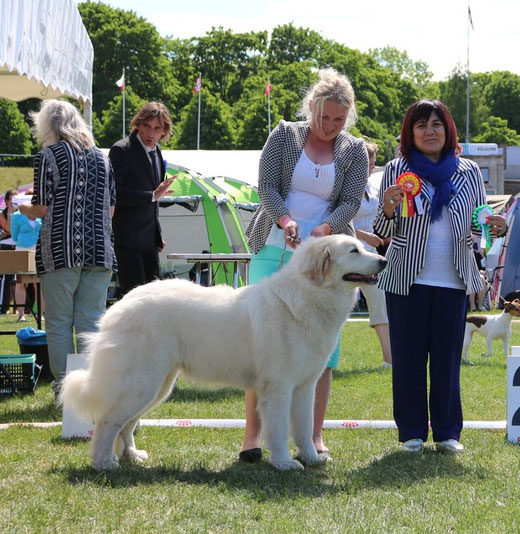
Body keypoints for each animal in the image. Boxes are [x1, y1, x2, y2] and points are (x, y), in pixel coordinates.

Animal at [60, 237, 386, 472]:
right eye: (354, 250)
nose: (383, 260)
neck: (309, 295)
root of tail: (119, 305)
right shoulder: (278, 388)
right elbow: (280, 429)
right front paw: (284, 463)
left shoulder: (305, 387)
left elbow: (305, 428)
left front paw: (312, 458)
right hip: (142, 383)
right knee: (108, 422)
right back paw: (104, 463)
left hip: (157, 386)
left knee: (126, 424)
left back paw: (131, 455)